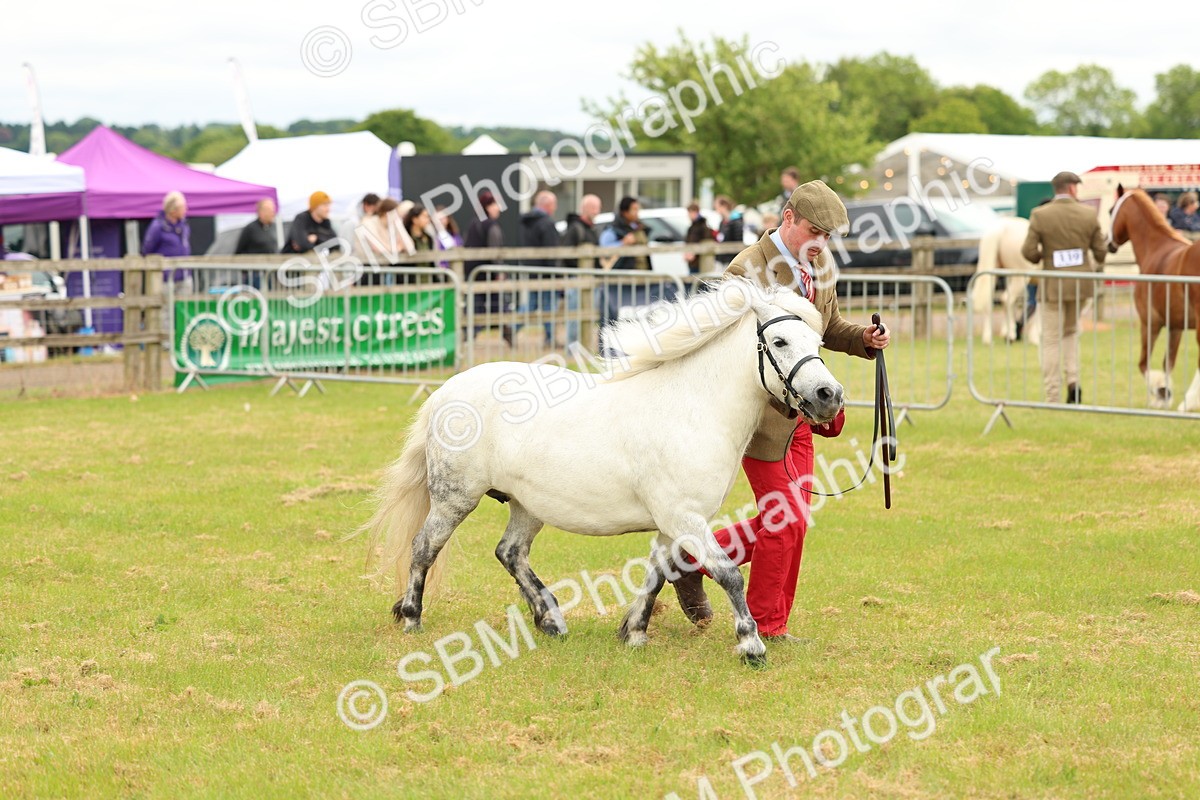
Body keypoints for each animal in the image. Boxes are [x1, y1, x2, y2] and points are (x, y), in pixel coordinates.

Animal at [363, 278, 844, 665]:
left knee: (510, 552)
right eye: (780, 342)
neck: (692, 408)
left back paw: (551, 619)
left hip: (526, 505)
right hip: (455, 497)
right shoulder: (685, 519)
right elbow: (729, 574)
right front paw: (751, 644)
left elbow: (657, 575)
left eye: (818, 343)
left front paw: (634, 632)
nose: (830, 396)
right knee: (424, 548)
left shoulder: (672, 524)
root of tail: (446, 392)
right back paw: (412, 617)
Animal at [1108, 186, 1200, 411]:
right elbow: (1168, 363)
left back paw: (1187, 403)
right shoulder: (1175, 327)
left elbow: (1143, 364)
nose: (1108, 244)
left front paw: (1160, 393)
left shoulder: (1150, 323)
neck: (1156, 249)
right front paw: (1165, 394)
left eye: (1111, 210)